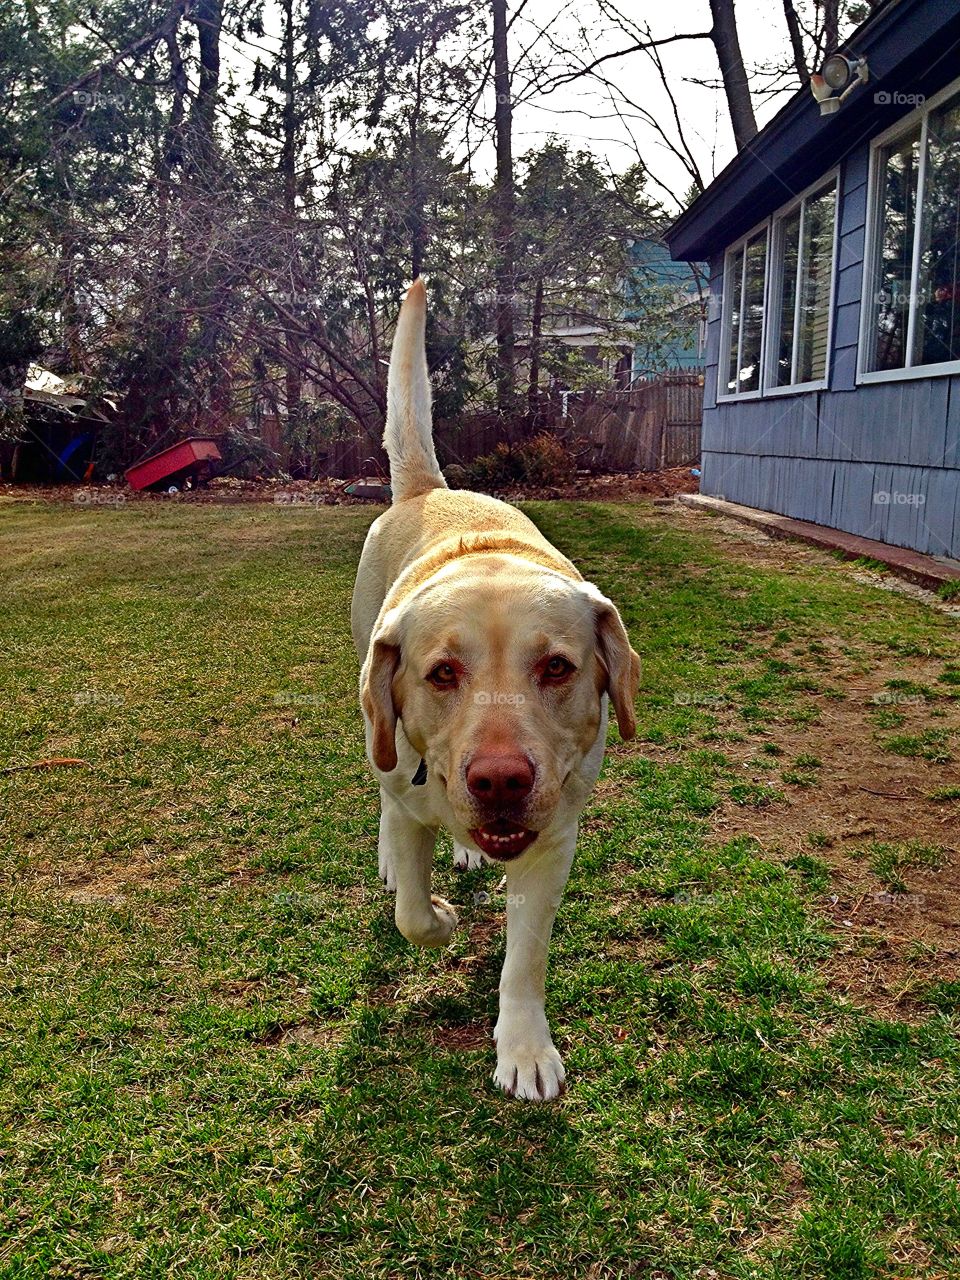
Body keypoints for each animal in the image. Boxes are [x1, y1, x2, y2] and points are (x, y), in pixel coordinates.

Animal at [350, 280, 640, 1100]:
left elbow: (526, 956)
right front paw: (437, 913)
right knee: (386, 794)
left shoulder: (554, 840)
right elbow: (413, 914)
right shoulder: (408, 779)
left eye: (558, 668)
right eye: (442, 673)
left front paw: (525, 1047)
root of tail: (428, 489)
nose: (502, 781)